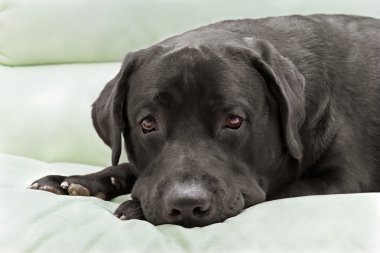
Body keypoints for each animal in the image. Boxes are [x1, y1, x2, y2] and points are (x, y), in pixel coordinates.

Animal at [29, 14, 380, 227]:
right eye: (147, 124)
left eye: (234, 121)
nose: (186, 205)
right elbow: (130, 167)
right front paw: (78, 180)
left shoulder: (341, 180)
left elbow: (278, 191)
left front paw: (135, 207)